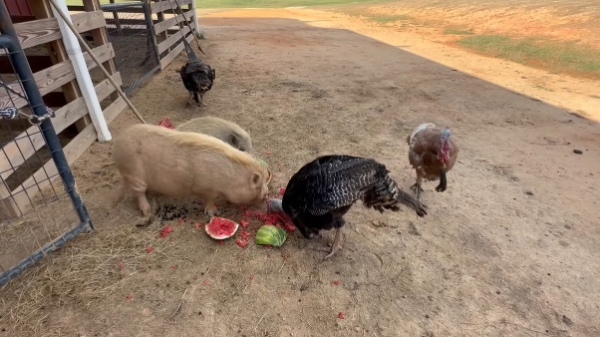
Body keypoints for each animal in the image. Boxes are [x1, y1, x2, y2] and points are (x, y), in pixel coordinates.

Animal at [112, 123, 270, 215]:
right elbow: (210, 200)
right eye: (258, 186)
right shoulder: (205, 189)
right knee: (139, 193)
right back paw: (147, 211)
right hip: (134, 174)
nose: (267, 194)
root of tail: (118, 141)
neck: (229, 178)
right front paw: (213, 212)